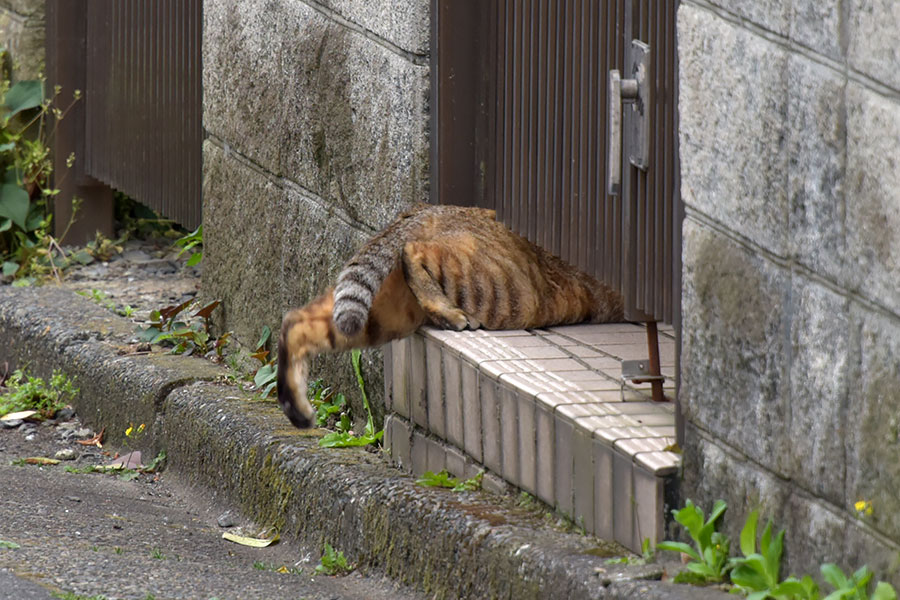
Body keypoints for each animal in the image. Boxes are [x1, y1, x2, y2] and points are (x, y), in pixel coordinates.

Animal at [278, 204, 624, 428]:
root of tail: (429, 208)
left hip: (377, 314)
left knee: (295, 322)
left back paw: (297, 407)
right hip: (505, 290)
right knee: (412, 251)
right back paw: (448, 312)